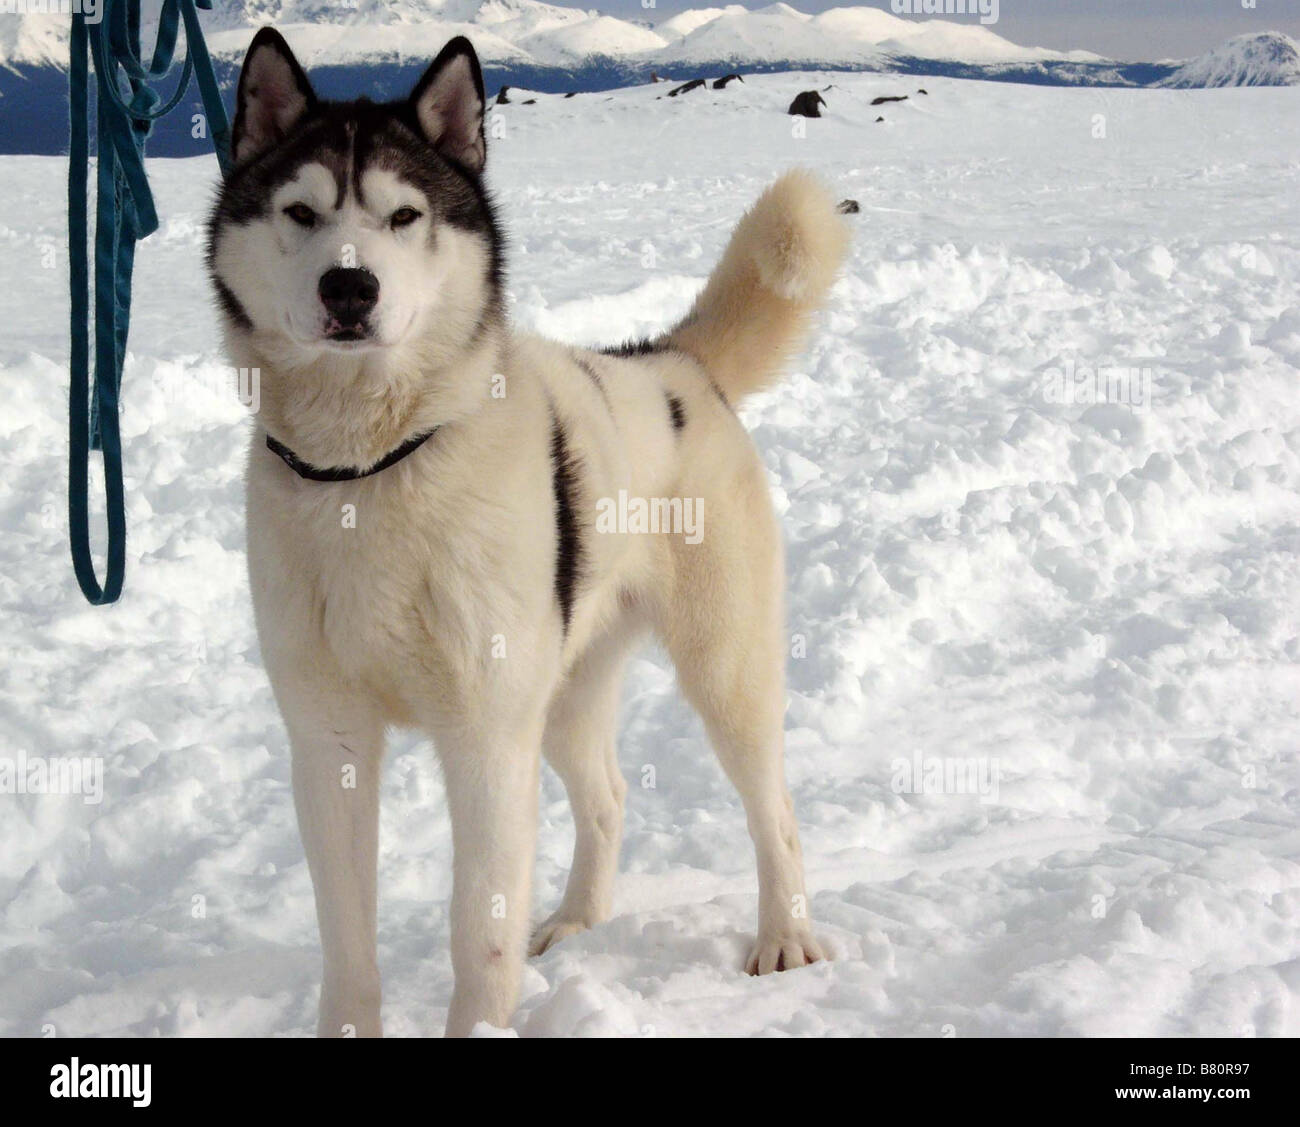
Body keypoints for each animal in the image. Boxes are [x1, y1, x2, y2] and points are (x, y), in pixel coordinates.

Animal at [208, 28, 847, 1039]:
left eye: (403, 216)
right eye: (300, 211)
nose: (349, 286)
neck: (369, 469)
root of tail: (677, 363)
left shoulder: (484, 737)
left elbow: (479, 931)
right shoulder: (328, 740)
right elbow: (347, 943)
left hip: (722, 667)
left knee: (772, 807)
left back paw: (784, 935)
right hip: (564, 688)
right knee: (609, 798)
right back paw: (579, 920)